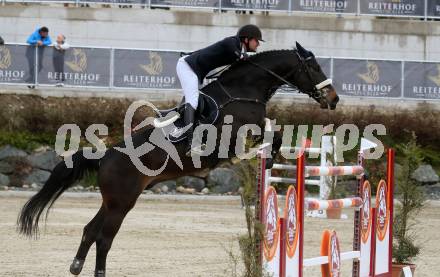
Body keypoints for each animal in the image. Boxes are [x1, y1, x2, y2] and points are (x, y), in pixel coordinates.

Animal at [17, 42, 338, 274]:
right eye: (314, 67)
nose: (333, 99)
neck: (245, 89)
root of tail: (106, 155)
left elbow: (277, 133)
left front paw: (269, 158)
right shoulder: (236, 135)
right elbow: (275, 134)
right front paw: (269, 158)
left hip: (115, 200)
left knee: (91, 230)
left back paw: (76, 266)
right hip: (122, 201)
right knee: (105, 237)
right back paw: (98, 272)